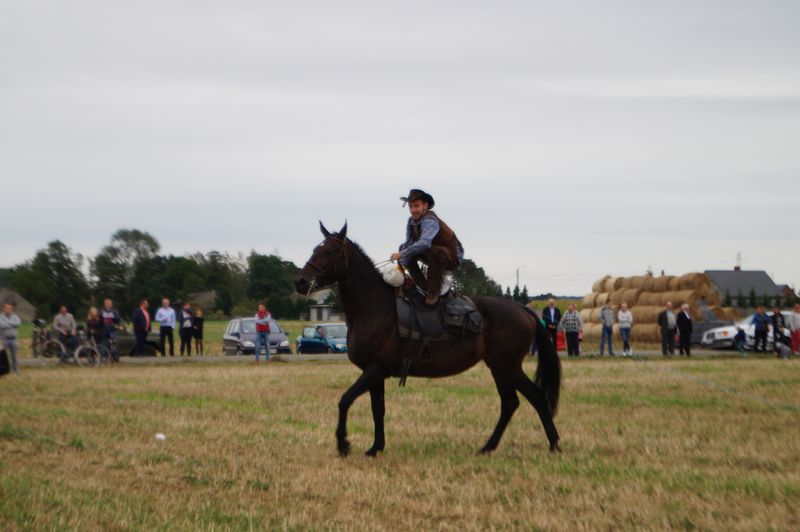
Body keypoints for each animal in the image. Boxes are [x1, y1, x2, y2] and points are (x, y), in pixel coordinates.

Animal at [294, 222, 564, 456]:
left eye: (330, 251)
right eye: (315, 249)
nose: (301, 281)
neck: (375, 309)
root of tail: (524, 310)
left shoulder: (374, 369)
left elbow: (345, 400)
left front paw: (343, 443)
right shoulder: (375, 374)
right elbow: (377, 409)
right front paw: (375, 447)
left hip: (506, 366)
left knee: (528, 399)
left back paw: (550, 445)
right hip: (501, 367)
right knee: (514, 402)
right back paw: (495, 447)